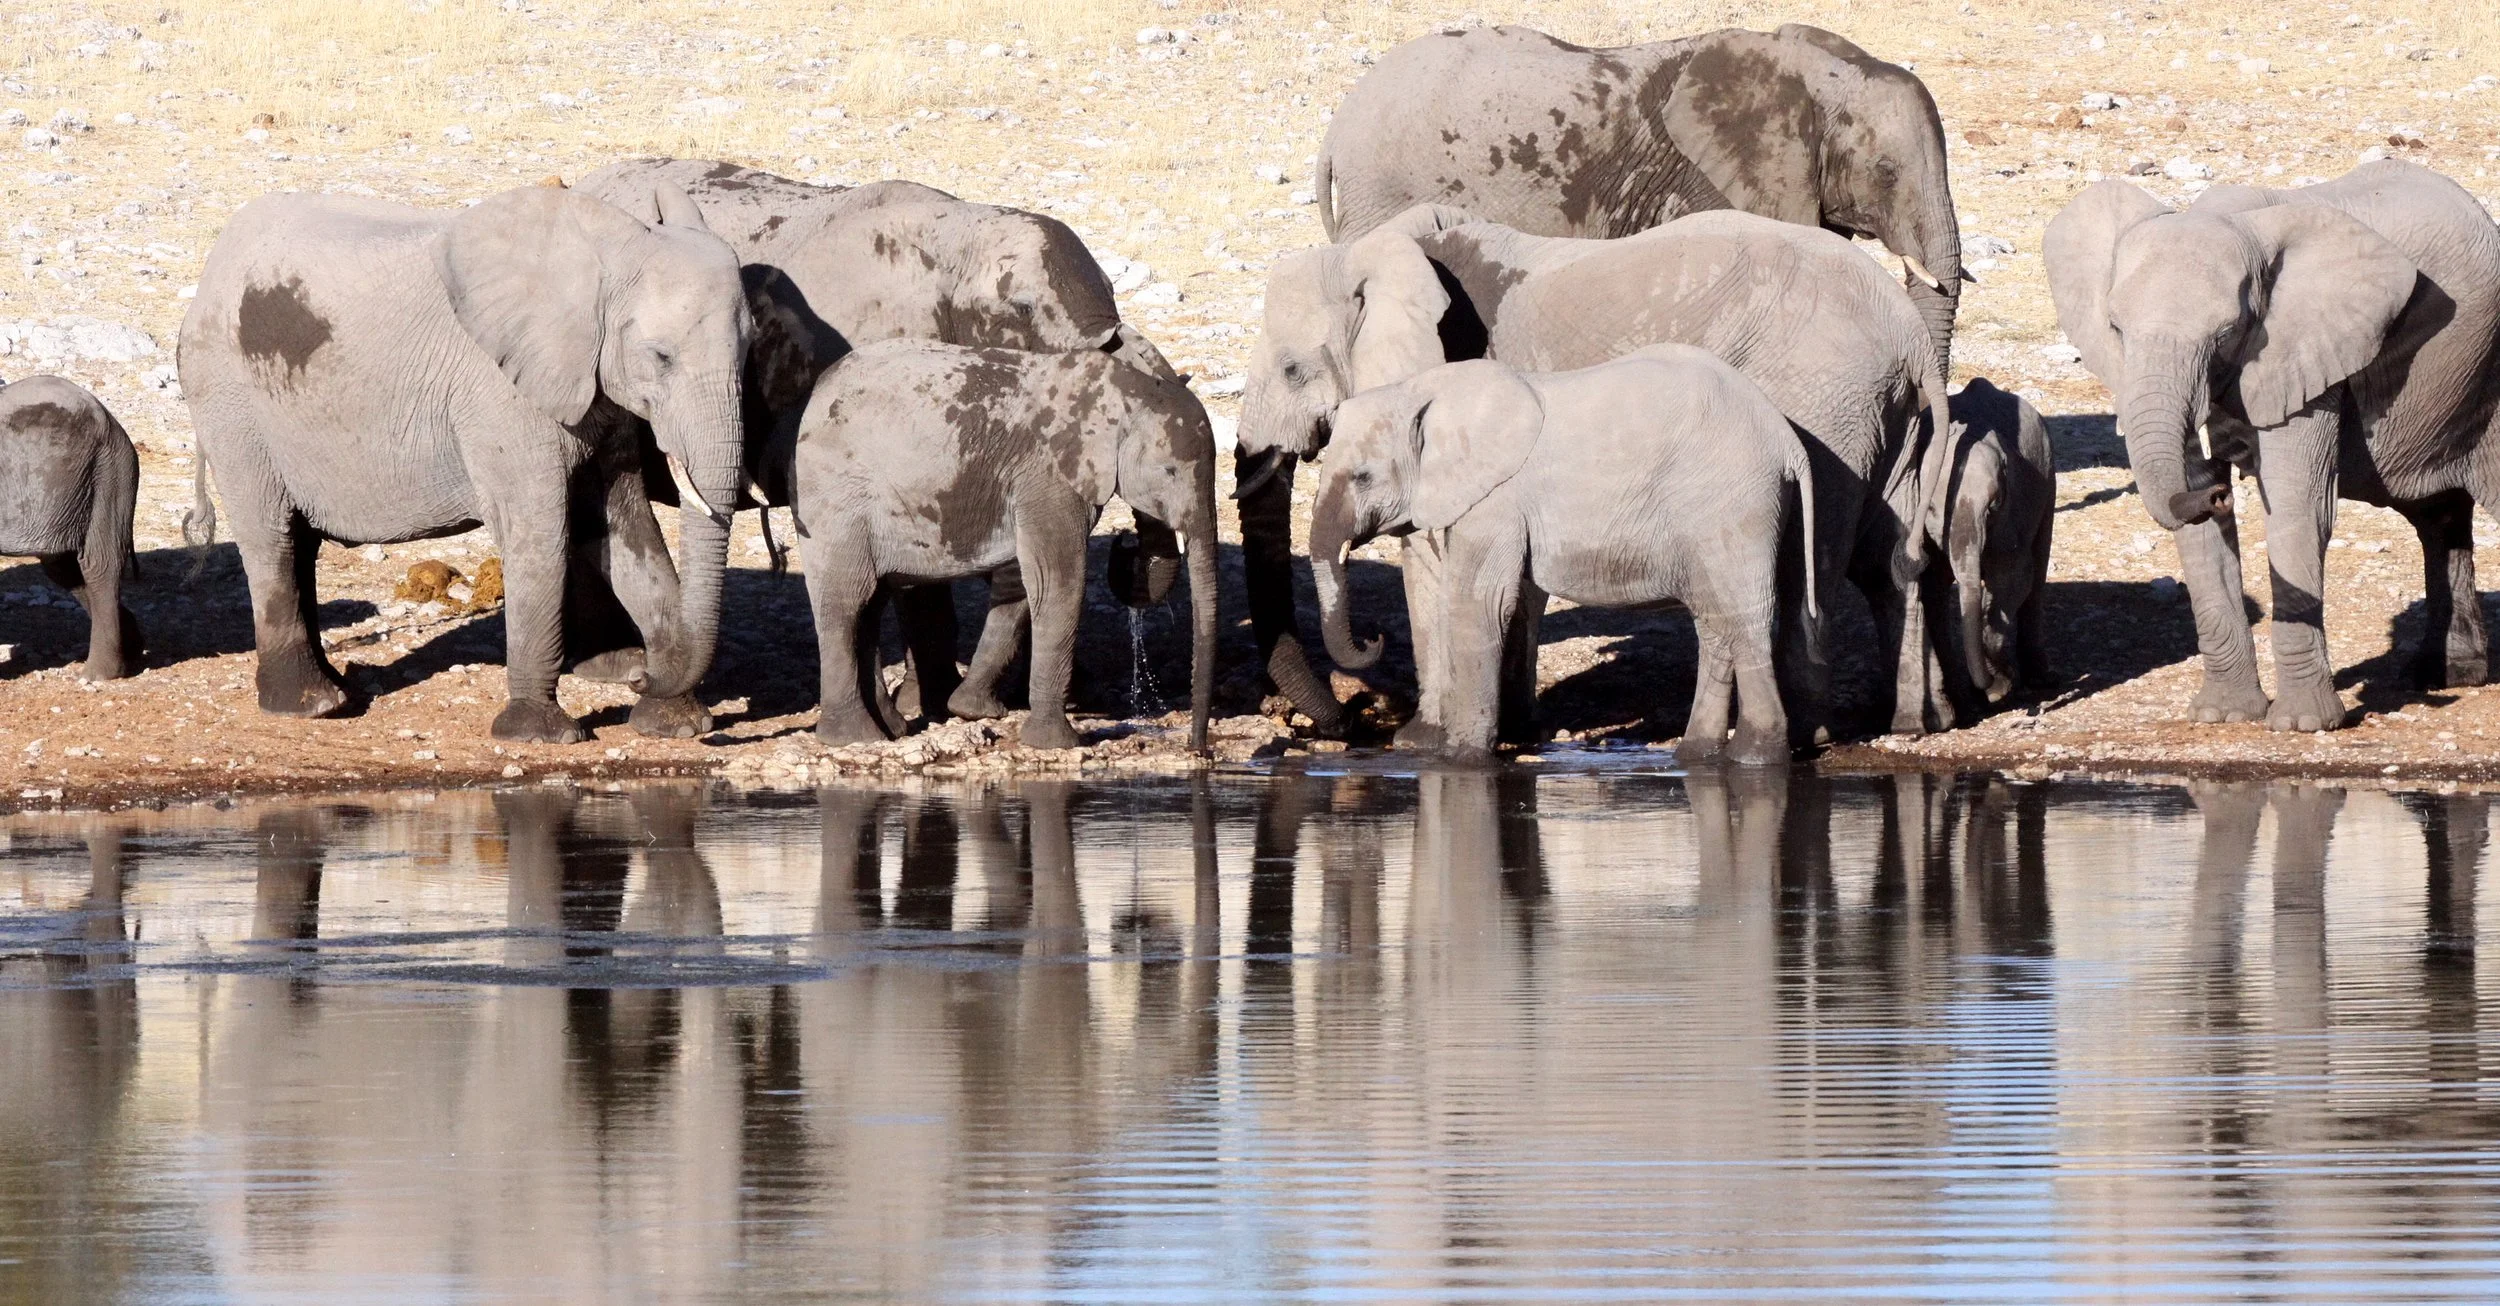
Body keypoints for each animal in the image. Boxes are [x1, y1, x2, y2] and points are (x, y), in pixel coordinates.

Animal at [178, 181, 751, 743]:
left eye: (749, 350)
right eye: (660, 357)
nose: (639, 676)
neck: (600, 256)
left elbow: (629, 531)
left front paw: (678, 724)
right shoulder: (498, 398)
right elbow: (541, 536)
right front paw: (537, 735)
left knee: (301, 545)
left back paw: (337, 692)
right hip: (230, 403)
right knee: (271, 536)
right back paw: (311, 706)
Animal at [791, 341, 1219, 753]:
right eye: (1169, 471)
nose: (1198, 750)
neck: (1127, 388)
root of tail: (814, 398)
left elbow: (1022, 584)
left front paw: (973, 710)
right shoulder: (1046, 477)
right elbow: (1057, 583)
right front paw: (1055, 744)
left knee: (870, 606)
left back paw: (890, 729)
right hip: (834, 503)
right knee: (847, 602)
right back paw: (856, 737)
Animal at [1311, 348, 1817, 764]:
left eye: (1362, 477)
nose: (1374, 637)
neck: (1421, 390)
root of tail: (1786, 440)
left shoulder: (1496, 499)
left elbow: (1480, 604)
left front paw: (1459, 761)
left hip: (1731, 503)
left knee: (1742, 616)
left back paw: (1755, 758)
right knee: (1714, 621)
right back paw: (1696, 755)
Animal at [1932, 377, 2054, 709]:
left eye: (1993, 505)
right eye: (1933, 510)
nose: (1991, 687)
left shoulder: (2012, 511)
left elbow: (2013, 579)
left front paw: (1999, 687)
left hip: (2048, 477)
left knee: (2037, 573)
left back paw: (2040, 678)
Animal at [2045, 159, 2500, 732]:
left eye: (2226, 333)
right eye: (2115, 328)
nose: (2221, 488)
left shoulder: (2309, 351)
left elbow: (2296, 508)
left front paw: (2304, 726)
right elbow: (2201, 534)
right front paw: (2222, 714)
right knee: (2439, 516)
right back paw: (2448, 674)